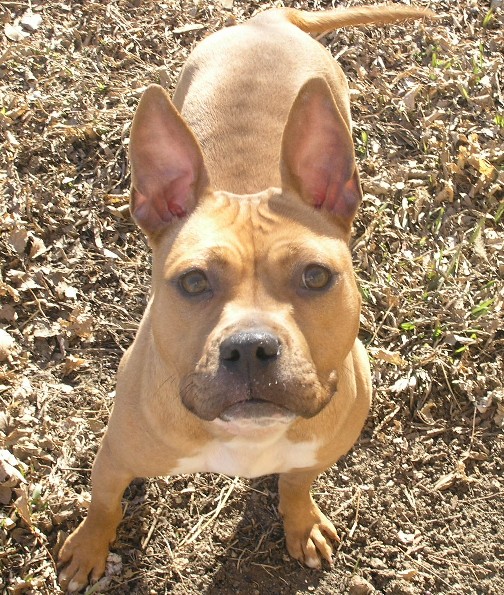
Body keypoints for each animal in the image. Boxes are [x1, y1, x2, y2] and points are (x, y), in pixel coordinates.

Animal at [58, 4, 434, 592]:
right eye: (193, 282)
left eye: (315, 276)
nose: (251, 348)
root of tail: (270, 19)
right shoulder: (116, 454)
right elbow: (104, 502)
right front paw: (88, 547)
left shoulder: (317, 451)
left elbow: (296, 484)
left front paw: (301, 523)